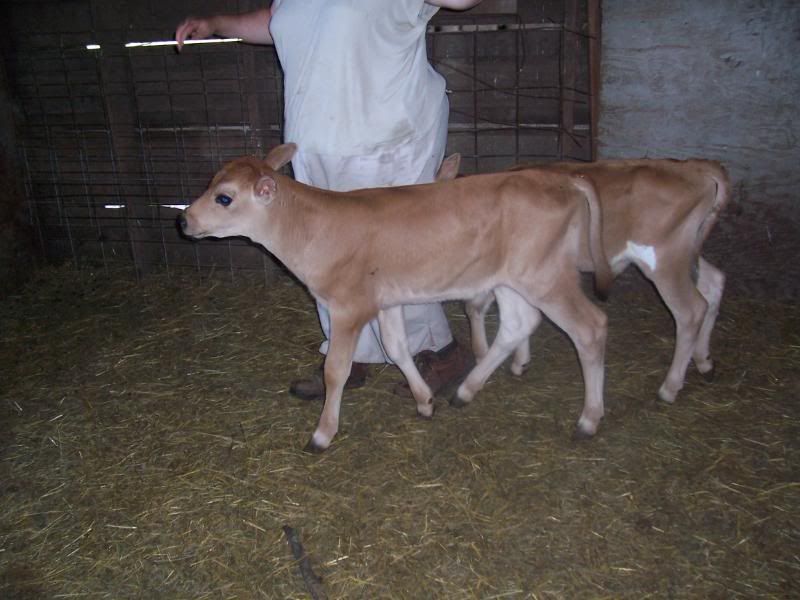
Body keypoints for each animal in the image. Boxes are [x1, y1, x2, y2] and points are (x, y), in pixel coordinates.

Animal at [179, 143, 613, 451]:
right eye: (210, 182)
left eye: (224, 198)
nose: (183, 219)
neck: (311, 229)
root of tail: (561, 179)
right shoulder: (385, 301)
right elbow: (397, 348)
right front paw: (424, 402)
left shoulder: (349, 306)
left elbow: (336, 370)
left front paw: (322, 434)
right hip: (514, 278)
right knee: (518, 323)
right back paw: (466, 391)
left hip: (545, 273)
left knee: (590, 327)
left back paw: (588, 420)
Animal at [462, 158, 731, 406]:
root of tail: (691, 167)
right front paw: (520, 360)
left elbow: (475, 306)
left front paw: (484, 355)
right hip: (685, 257)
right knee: (714, 284)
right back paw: (704, 361)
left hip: (665, 262)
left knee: (691, 311)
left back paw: (669, 387)